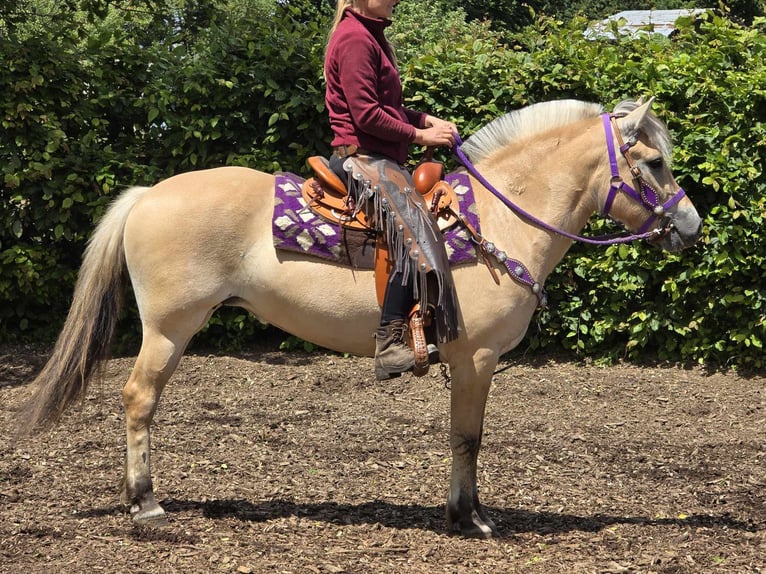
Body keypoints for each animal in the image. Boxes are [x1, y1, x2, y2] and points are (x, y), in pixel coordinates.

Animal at [16, 98, 704, 540]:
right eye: (655, 162)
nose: (692, 225)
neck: (500, 219)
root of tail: (148, 195)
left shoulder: (468, 362)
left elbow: (463, 436)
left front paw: (464, 513)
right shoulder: (477, 358)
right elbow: (468, 437)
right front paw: (471, 519)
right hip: (169, 328)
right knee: (138, 399)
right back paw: (147, 506)